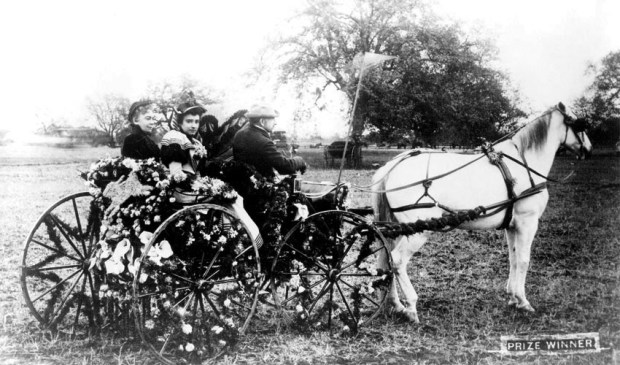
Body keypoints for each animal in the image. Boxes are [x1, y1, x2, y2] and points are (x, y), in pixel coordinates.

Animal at [370, 102, 592, 322]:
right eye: (580, 124)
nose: (589, 149)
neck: (523, 162)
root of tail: (392, 165)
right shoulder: (527, 223)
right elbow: (523, 260)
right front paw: (523, 301)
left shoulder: (512, 226)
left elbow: (513, 259)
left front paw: (513, 297)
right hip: (419, 230)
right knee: (398, 261)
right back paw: (411, 307)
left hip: (399, 228)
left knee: (387, 259)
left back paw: (395, 304)